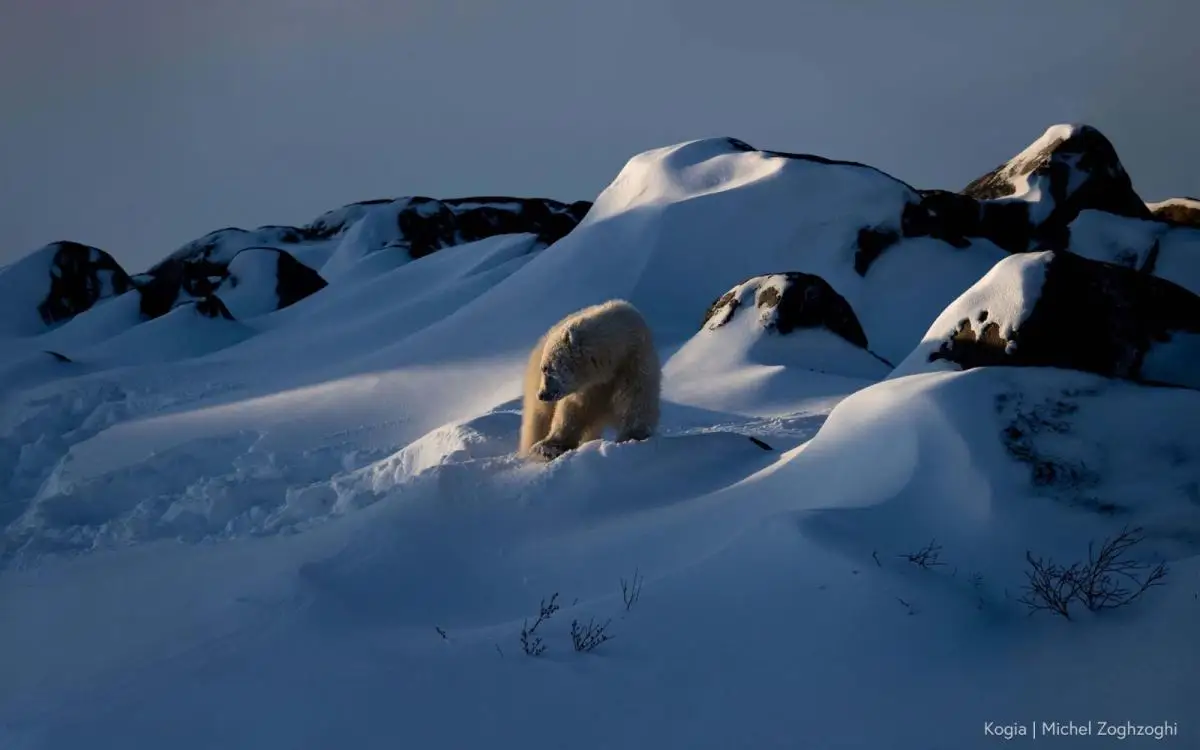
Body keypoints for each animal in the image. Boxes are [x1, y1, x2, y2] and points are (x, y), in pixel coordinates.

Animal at [518, 300, 662, 463]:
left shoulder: (634, 363)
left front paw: (633, 435)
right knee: (537, 419)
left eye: (547, 368)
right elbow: (573, 409)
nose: (542, 394)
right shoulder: (589, 386)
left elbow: (636, 399)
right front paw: (548, 447)